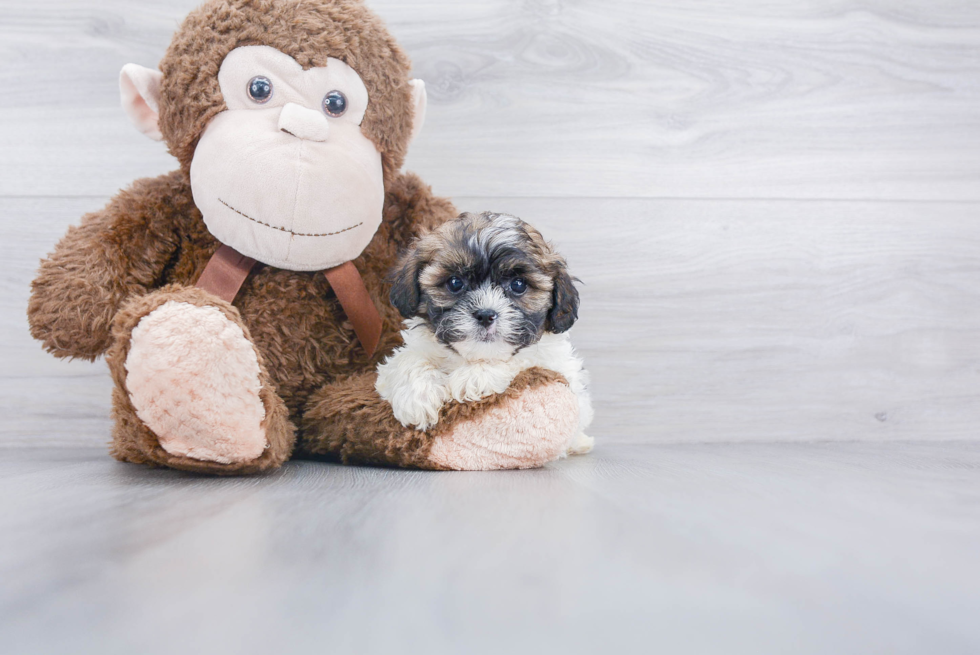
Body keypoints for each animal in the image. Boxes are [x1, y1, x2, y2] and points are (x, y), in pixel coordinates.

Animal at [376, 211, 592, 456]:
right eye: (455, 282)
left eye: (518, 285)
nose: (486, 314)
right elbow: (408, 360)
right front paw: (417, 398)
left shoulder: (556, 363)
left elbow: (525, 358)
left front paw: (473, 378)